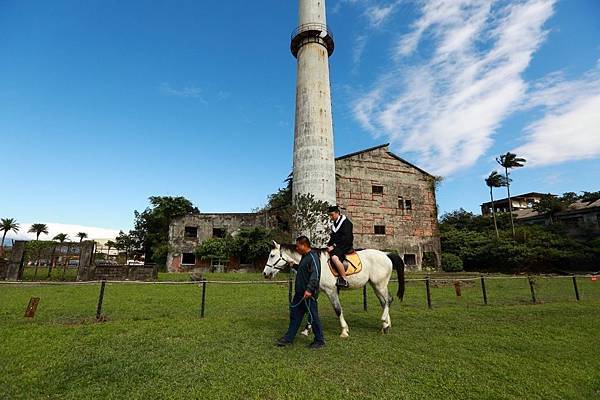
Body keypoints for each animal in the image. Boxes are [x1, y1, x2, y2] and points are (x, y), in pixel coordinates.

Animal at [262, 241, 406, 338]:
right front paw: (307, 329)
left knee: (388, 300)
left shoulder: (331, 291)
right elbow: (309, 309)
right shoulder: (315, 290)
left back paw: (384, 322)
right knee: (384, 302)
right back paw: (386, 325)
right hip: (375, 285)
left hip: (379, 284)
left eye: (272, 255)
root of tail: (386, 254)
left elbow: (338, 310)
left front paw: (344, 331)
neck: (314, 262)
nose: (265, 274)